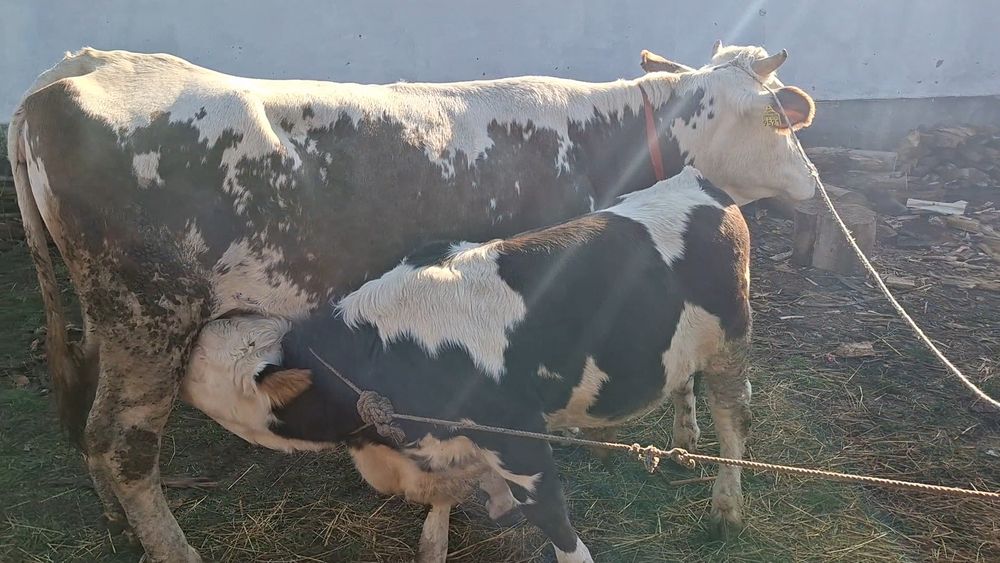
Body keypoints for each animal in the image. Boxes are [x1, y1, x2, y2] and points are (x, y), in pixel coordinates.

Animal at [183, 166, 751, 562]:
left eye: (201, 366)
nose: (181, 351)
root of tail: (699, 183)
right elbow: (452, 498)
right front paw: (444, 535)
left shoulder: (518, 438)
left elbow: (555, 521)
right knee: (682, 380)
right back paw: (682, 442)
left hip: (731, 346)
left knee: (733, 424)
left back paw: (726, 507)